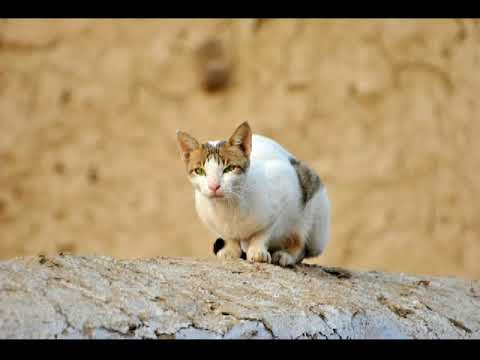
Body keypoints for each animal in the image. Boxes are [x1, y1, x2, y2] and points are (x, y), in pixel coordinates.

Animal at [175, 122, 330, 266]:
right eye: (200, 171)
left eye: (229, 168)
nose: (214, 186)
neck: (228, 207)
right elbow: (228, 236)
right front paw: (231, 249)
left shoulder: (283, 189)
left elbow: (263, 232)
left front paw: (257, 250)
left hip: (314, 214)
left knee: (301, 243)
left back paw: (286, 255)